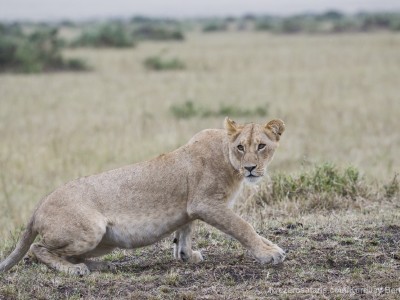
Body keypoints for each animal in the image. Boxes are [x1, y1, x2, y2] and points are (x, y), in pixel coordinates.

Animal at [1, 116, 286, 274]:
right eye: (241, 147)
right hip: (90, 229)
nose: (250, 168)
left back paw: (102, 266)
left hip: (105, 240)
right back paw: (74, 271)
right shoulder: (205, 203)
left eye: (261, 146)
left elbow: (185, 232)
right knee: (38, 249)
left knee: (67, 254)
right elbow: (243, 227)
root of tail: (39, 206)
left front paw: (186, 255)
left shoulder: (191, 207)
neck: (228, 160)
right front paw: (269, 253)